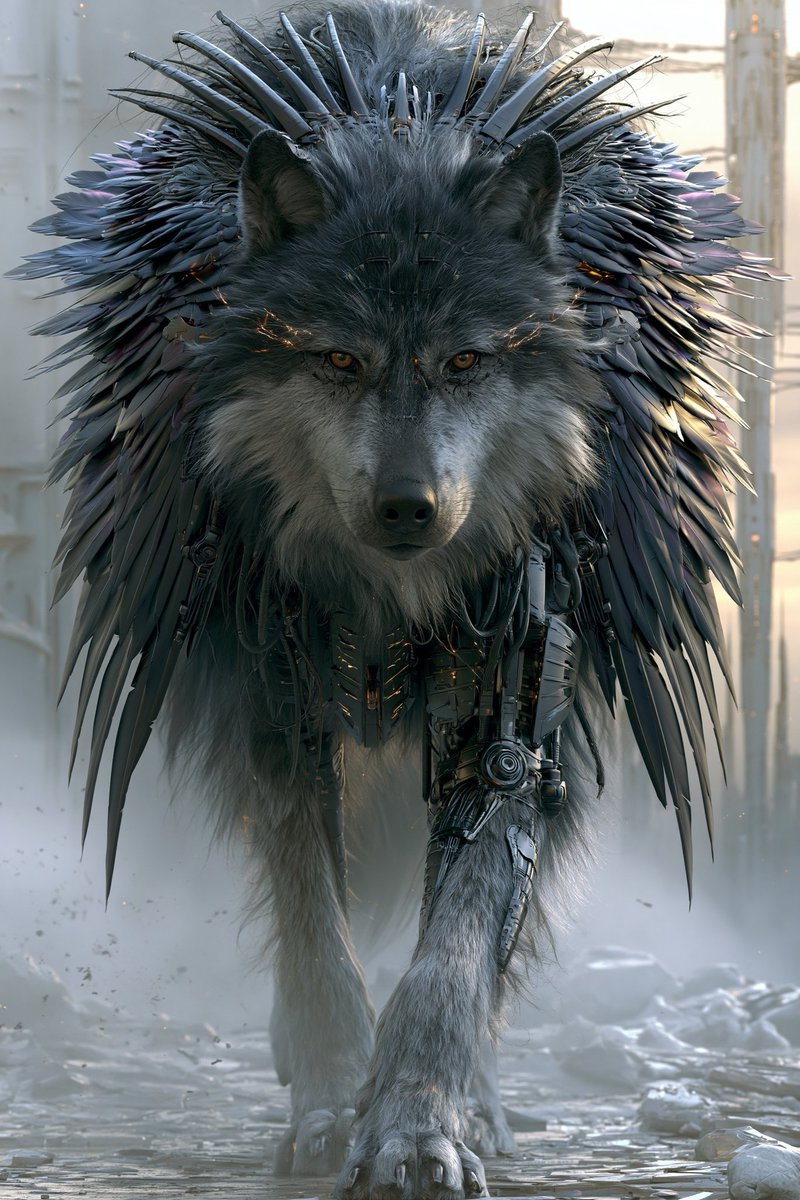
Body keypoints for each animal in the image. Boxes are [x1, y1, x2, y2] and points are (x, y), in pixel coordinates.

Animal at [16, 2, 768, 1197]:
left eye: (464, 361)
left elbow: (452, 952)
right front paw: (332, 1099)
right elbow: (313, 924)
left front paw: (418, 1124)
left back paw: (482, 1103)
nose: (408, 506)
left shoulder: (511, 725)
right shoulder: (272, 706)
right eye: (338, 361)